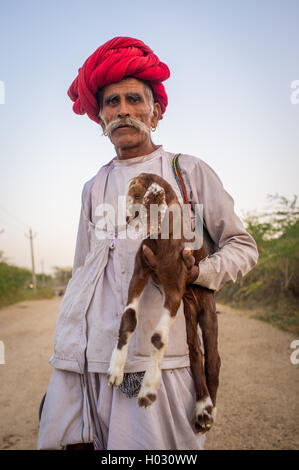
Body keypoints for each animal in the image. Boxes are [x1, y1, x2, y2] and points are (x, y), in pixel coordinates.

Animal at [108, 173, 220, 434]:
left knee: (213, 359)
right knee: (195, 352)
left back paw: (208, 411)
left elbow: (158, 337)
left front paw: (148, 390)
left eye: (138, 195)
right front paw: (116, 370)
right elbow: (129, 318)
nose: (125, 219)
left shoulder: (175, 287)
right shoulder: (141, 271)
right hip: (188, 311)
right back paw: (201, 407)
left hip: (206, 306)